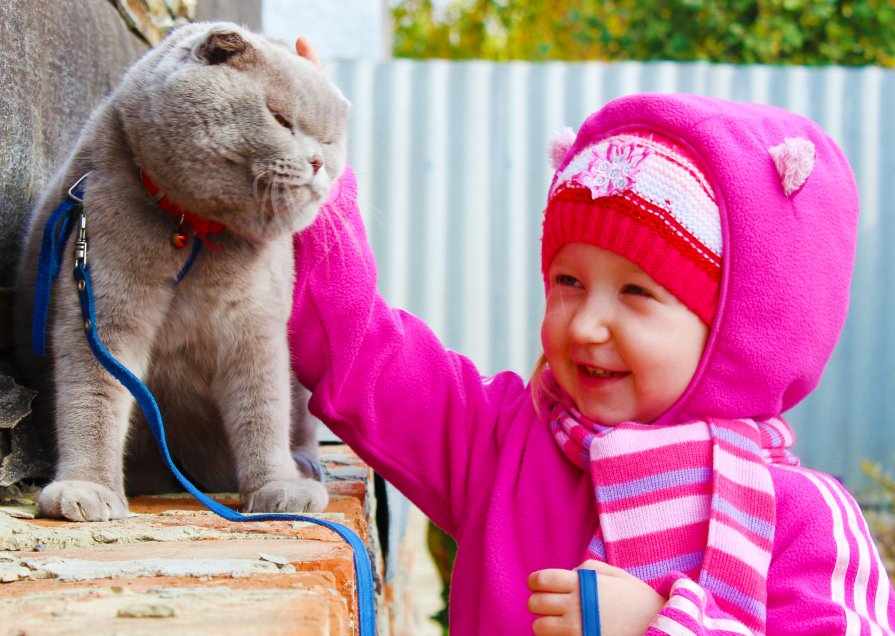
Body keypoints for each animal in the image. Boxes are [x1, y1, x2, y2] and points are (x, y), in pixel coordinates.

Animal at [14, 22, 350, 520]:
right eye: (278, 118)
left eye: (329, 141)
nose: (317, 161)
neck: (192, 231)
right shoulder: (101, 302)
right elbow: (93, 397)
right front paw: (88, 487)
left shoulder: (256, 325)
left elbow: (263, 407)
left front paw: (278, 487)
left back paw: (305, 468)